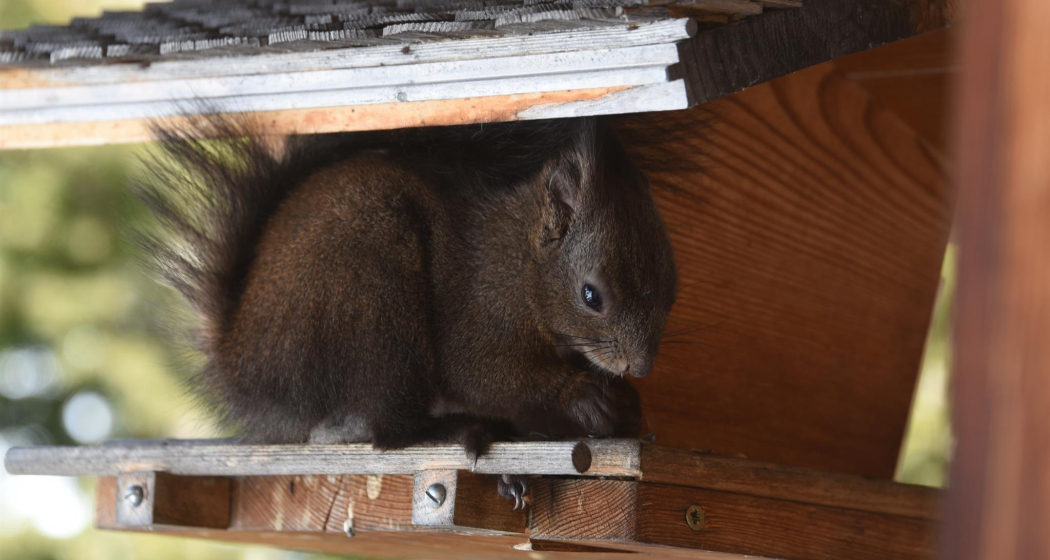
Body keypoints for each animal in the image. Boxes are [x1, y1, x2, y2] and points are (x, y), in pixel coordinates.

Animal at [138, 116, 677, 507]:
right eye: (591, 296)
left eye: (673, 289)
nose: (640, 366)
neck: (523, 263)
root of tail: (242, 364)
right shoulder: (479, 304)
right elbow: (483, 374)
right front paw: (586, 395)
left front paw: (626, 405)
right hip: (373, 305)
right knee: (391, 429)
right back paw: (456, 430)